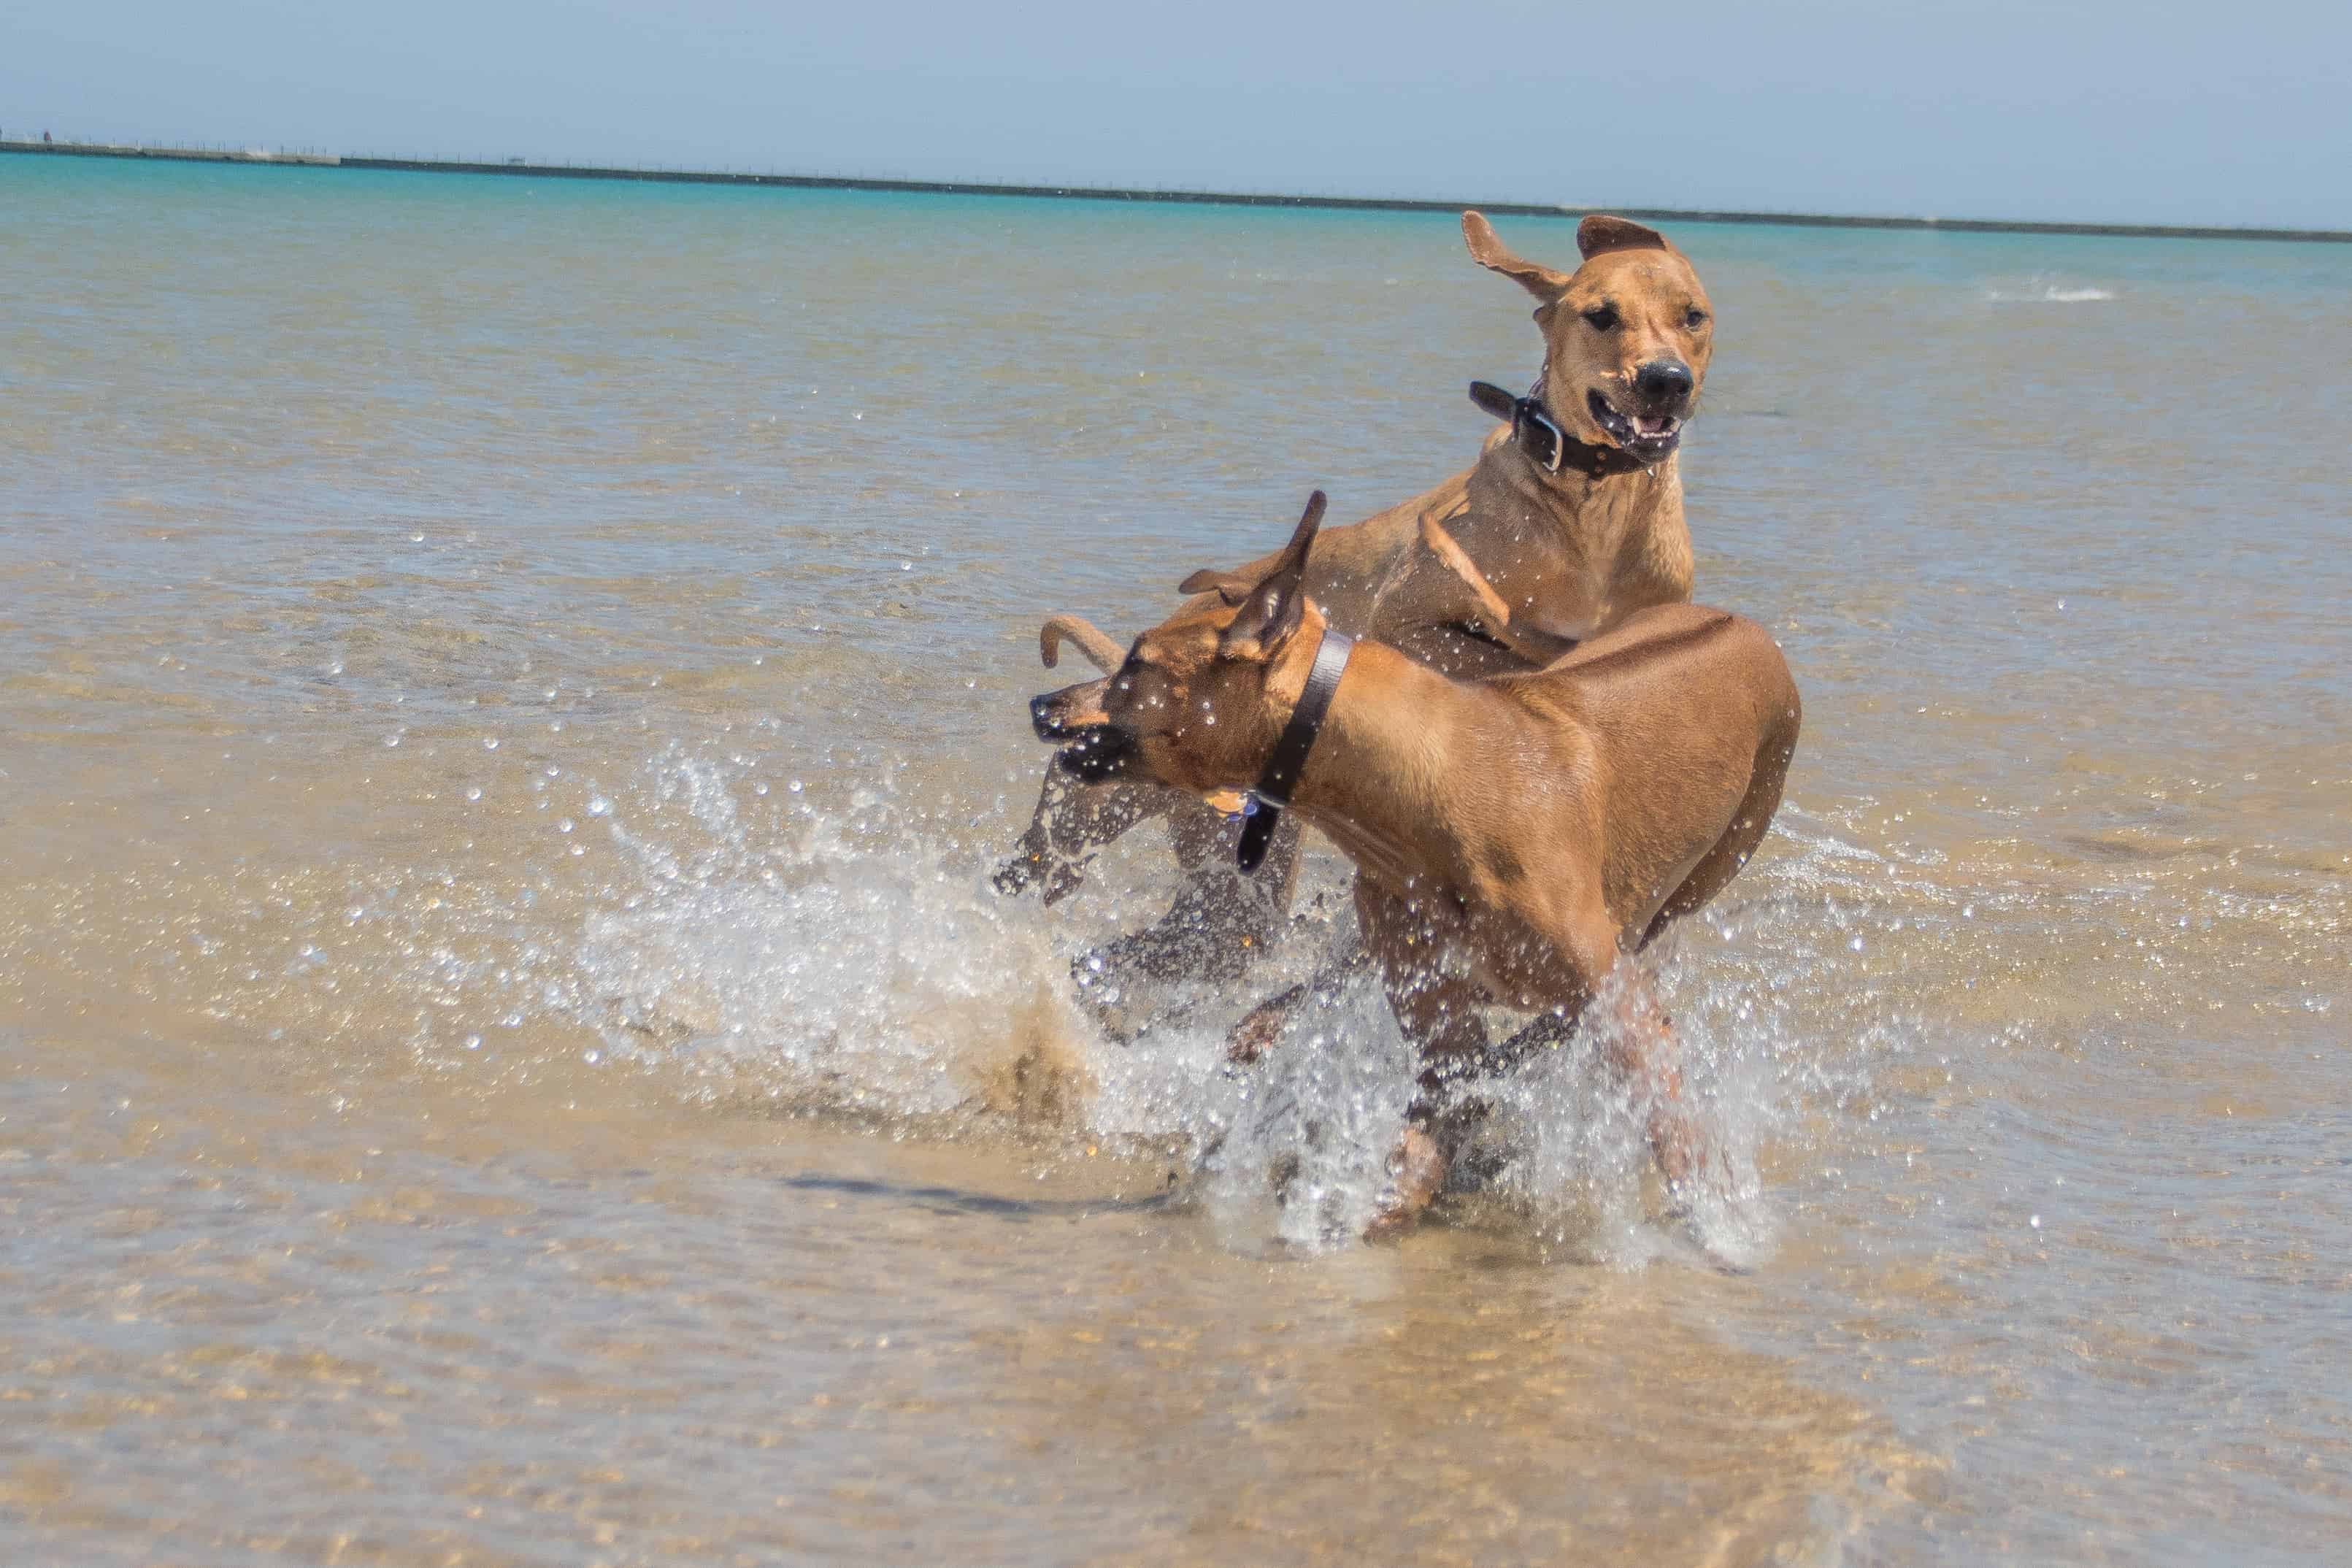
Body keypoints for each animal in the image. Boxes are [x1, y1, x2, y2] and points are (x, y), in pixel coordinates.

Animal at [1002, 211, 1721, 1006]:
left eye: (1694, 317)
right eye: (1602, 315)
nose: (1666, 380)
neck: (1595, 511)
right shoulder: (1408, 619)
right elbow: (1504, 644)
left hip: (1227, 902)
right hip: (1096, 832)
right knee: (1047, 873)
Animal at [1030, 491, 1796, 1241]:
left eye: (1137, 664)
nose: (1042, 703)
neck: (1428, 787)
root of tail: (1746, 628)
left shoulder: (1624, 1013)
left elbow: (1674, 1134)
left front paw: (1720, 1229)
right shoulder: (1434, 1012)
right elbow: (1420, 1139)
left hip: (1700, 879)